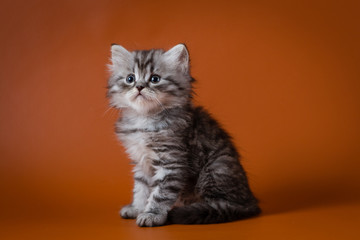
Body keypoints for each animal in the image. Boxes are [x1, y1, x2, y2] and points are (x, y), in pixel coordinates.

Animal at [107, 43, 262, 227]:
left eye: (155, 79)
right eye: (130, 79)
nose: (139, 87)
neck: (145, 119)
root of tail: (250, 201)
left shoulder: (171, 162)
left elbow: (160, 193)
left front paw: (152, 214)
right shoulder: (141, 162)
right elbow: (141, 189)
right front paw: (137, 208)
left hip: (214, 171)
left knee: (223, 205)